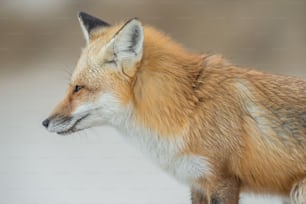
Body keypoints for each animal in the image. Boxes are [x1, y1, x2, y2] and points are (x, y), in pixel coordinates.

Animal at [43, 11, 306, 203]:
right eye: (72, 86)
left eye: (78, 88)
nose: (44, 122)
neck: (188, 108)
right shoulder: (197, 181)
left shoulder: (222, 180)